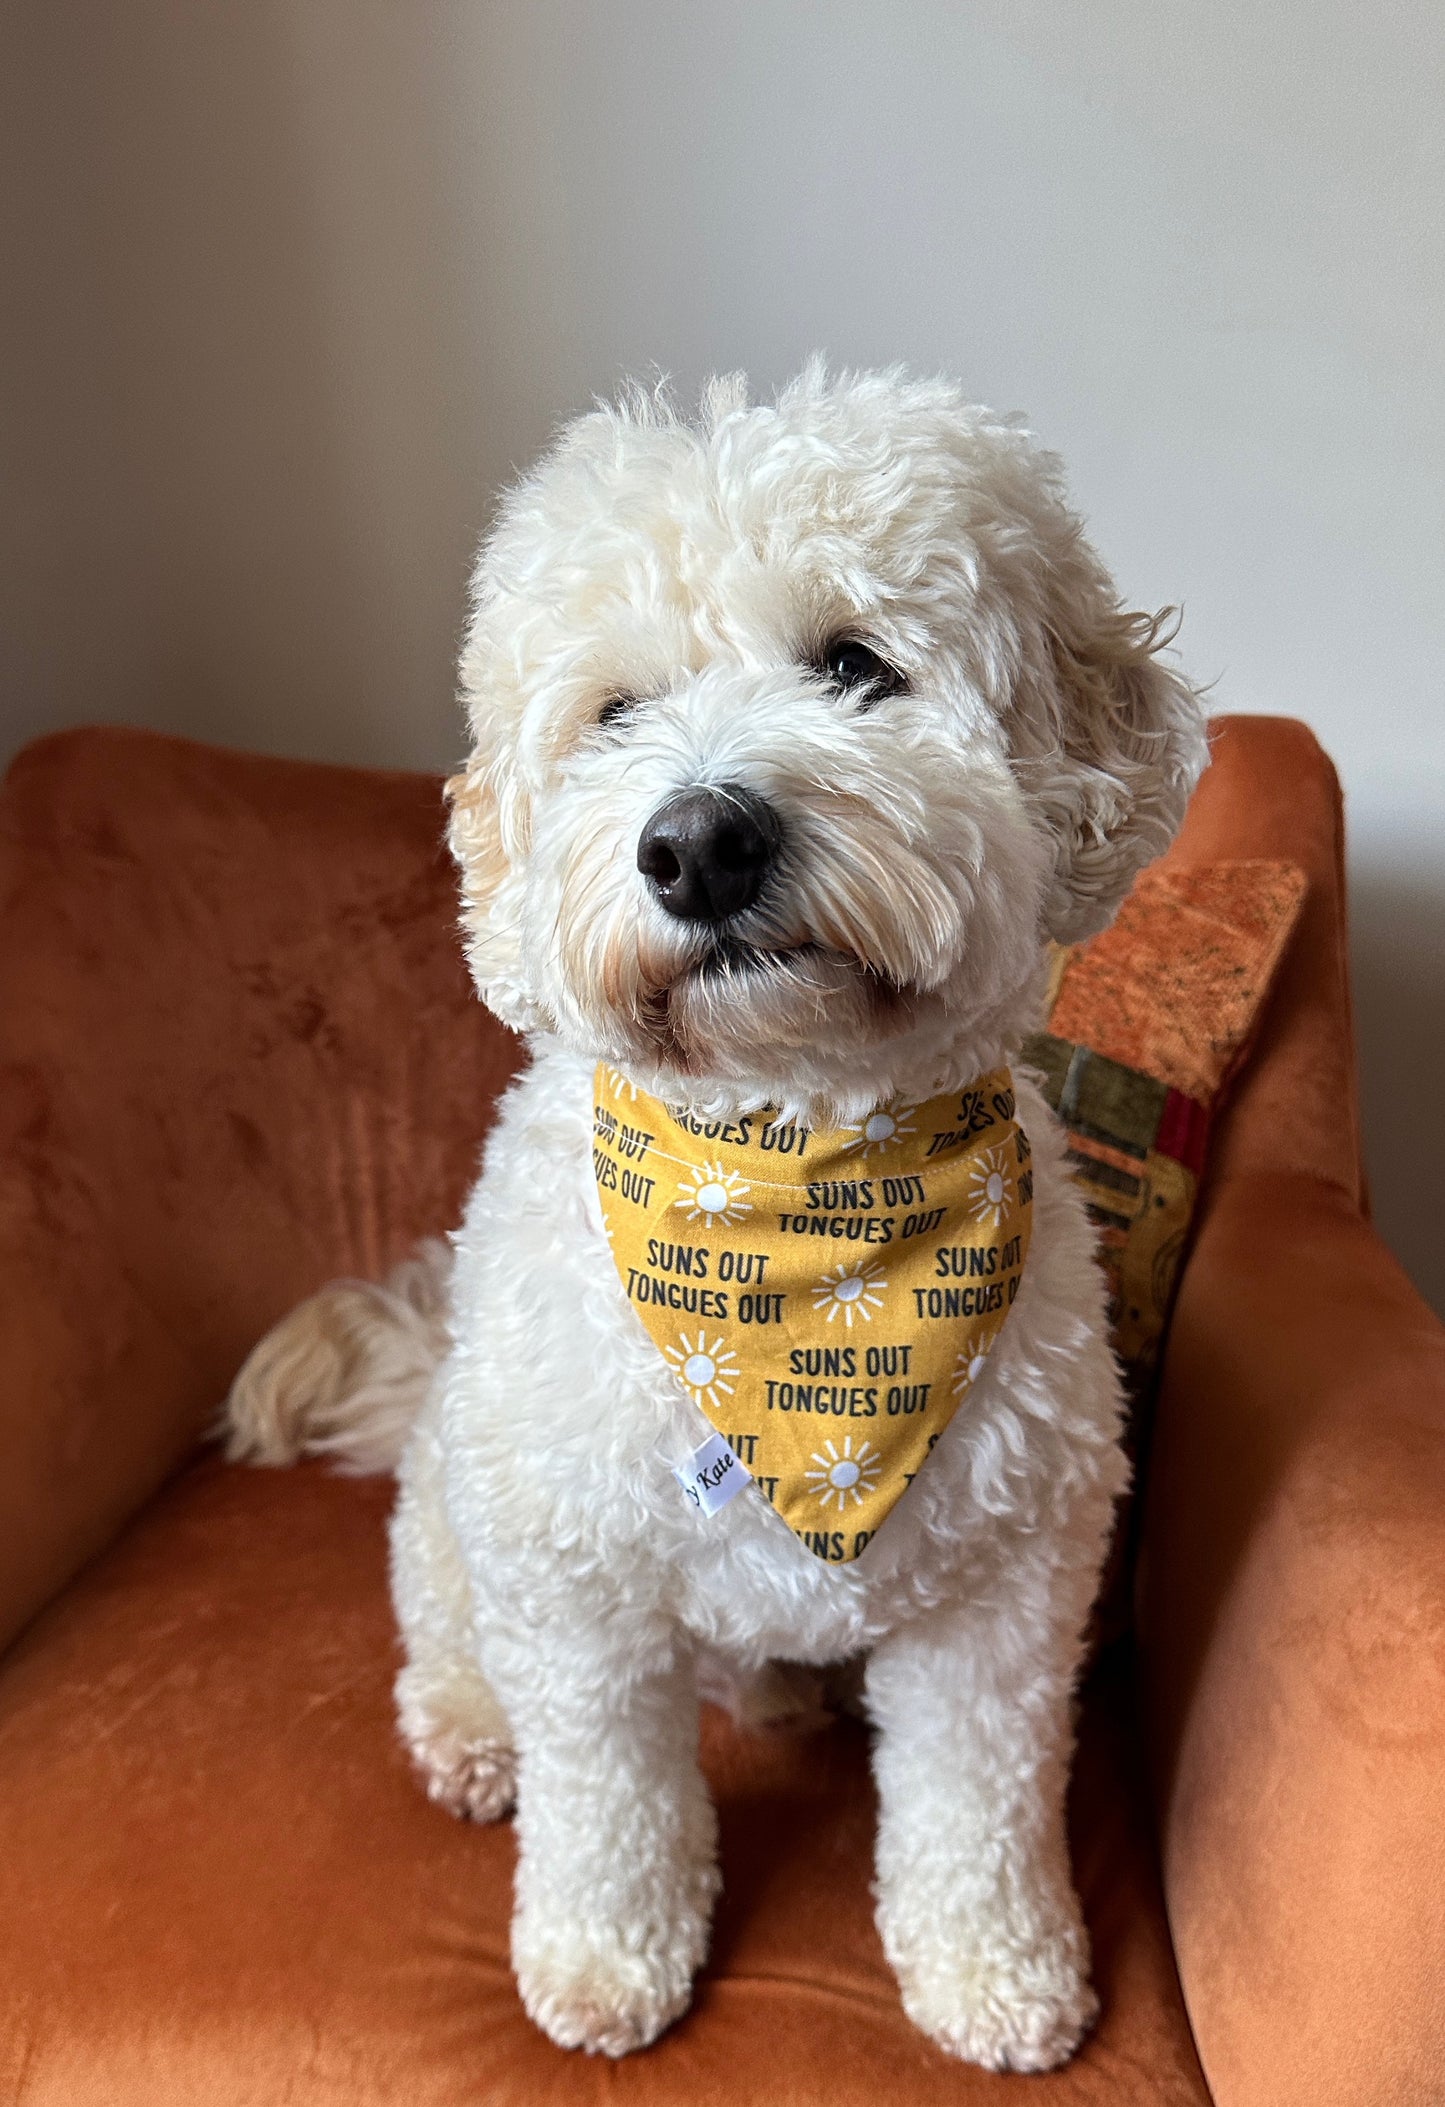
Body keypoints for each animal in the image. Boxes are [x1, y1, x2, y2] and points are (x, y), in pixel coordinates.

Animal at [226, 366, 1204, 2073]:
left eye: (855, 664)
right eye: (613, 710)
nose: (695, 842)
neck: (797, 1197)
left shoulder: (1005, 1593)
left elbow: (979, 1804)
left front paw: (997, 1968)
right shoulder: (575, 1589)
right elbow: (608, 1801)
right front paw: (604, 1957)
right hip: (461, 1504)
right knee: (447, 1632)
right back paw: (471, 1733)